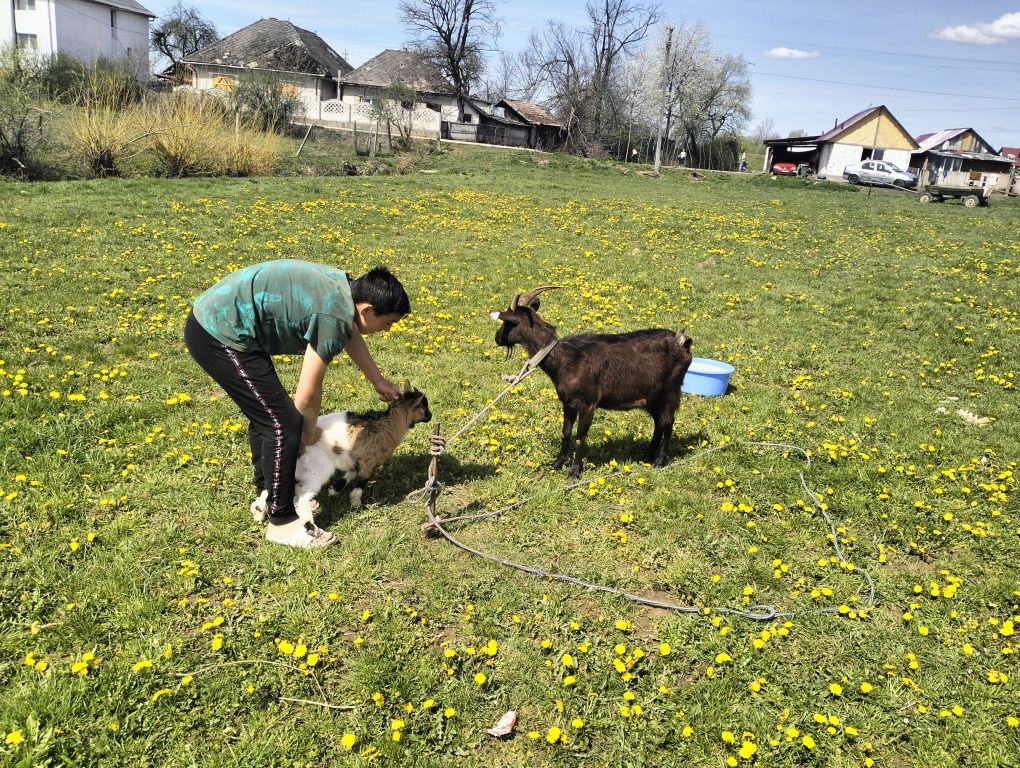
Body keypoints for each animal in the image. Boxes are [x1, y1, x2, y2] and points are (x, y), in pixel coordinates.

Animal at [491, 287, 693, 477]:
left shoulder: (588, 403)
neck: (565, 358)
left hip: (669, 391)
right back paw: (647, 456)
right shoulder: (568, 403)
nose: (497, 338)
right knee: (659, 422)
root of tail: (683, 343)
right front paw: (557, 464)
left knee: (668, 422)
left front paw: (574, 471)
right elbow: (566, 432)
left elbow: (580, 436)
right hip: (652, 397)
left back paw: (659, 461)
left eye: (507, 323)